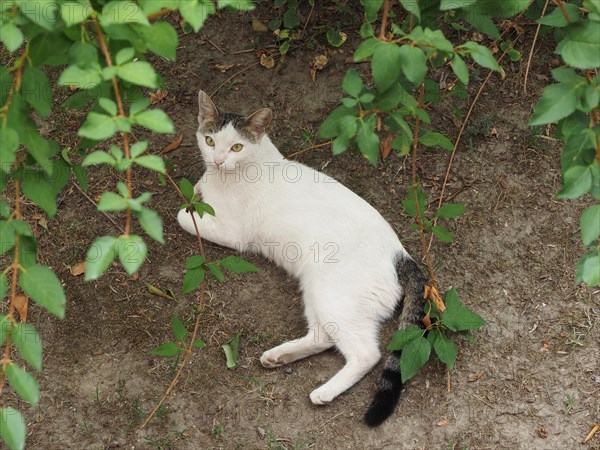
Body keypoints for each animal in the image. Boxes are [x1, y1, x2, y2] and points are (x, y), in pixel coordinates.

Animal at [176, 90, 428, 426]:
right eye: (210, 141)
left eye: (237, 147)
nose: (217, 160)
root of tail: (401, 255)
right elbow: (197, 188)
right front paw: (198, 186)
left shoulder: (232, 232)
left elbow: (183, 215)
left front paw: (189, 205)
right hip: (315, 290)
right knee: (324, 337)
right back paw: (278, 356)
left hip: (333, 295)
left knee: (367, 354)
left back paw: (324, 392)